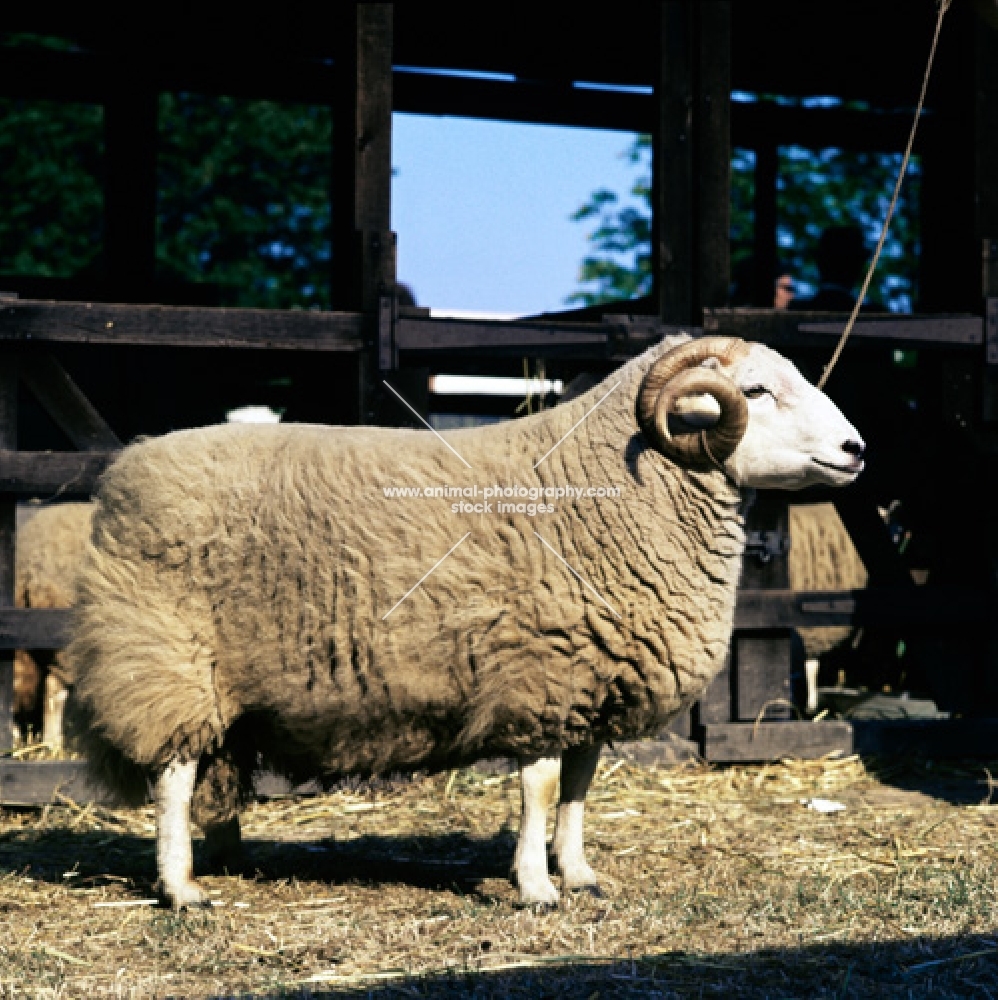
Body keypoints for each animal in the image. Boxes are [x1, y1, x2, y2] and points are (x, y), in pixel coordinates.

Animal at [66, 336, 868, 908]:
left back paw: (228, 858)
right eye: (755, 391)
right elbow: (540, 789)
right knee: (173, 775)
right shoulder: (544, 672)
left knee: (211, 767)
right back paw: (182, 888)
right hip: (165, 653)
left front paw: (579, 874)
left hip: (215, 679)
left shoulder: (591, 680)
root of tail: (124, 472)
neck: (606, 484)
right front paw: (536, 889)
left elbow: (579, 788)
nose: (857, 449)